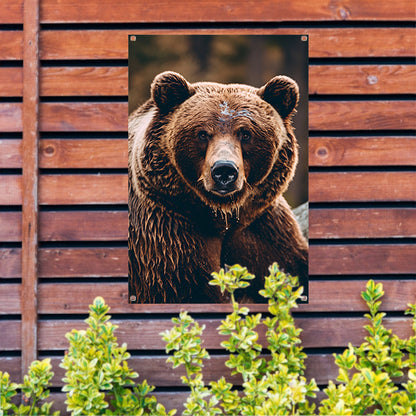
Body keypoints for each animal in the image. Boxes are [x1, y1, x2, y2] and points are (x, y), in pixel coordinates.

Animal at [128, 71, 308, 304]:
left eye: (246, 133)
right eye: (202, 133)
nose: (224, 170)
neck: (220, 217)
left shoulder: (262, 229)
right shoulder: (167, 234)